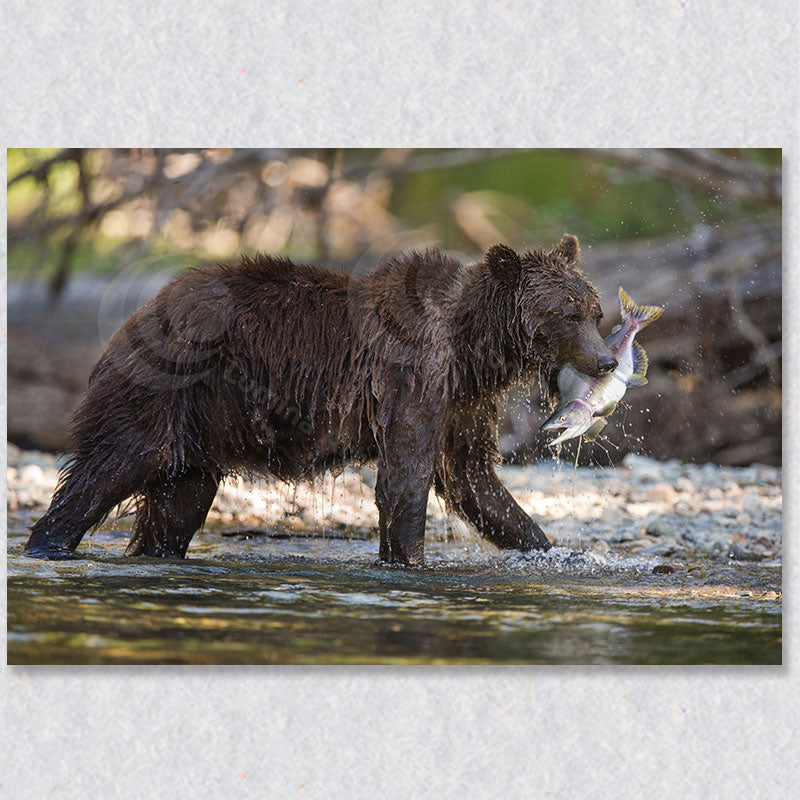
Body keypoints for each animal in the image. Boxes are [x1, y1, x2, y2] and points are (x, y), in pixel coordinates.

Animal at [23, 234, 612, 564]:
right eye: (568, 314)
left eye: (594, 309)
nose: (607, 361)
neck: (474, 350)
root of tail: (136, 315)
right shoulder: (414, 379)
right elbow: (406, 479)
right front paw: (409, 562)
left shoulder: (461, 405)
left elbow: (475, 483)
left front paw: (554, 550)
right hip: (163, 394)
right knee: (109, 466)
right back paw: (47, 545)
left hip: (200, 433)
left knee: (176, 507)